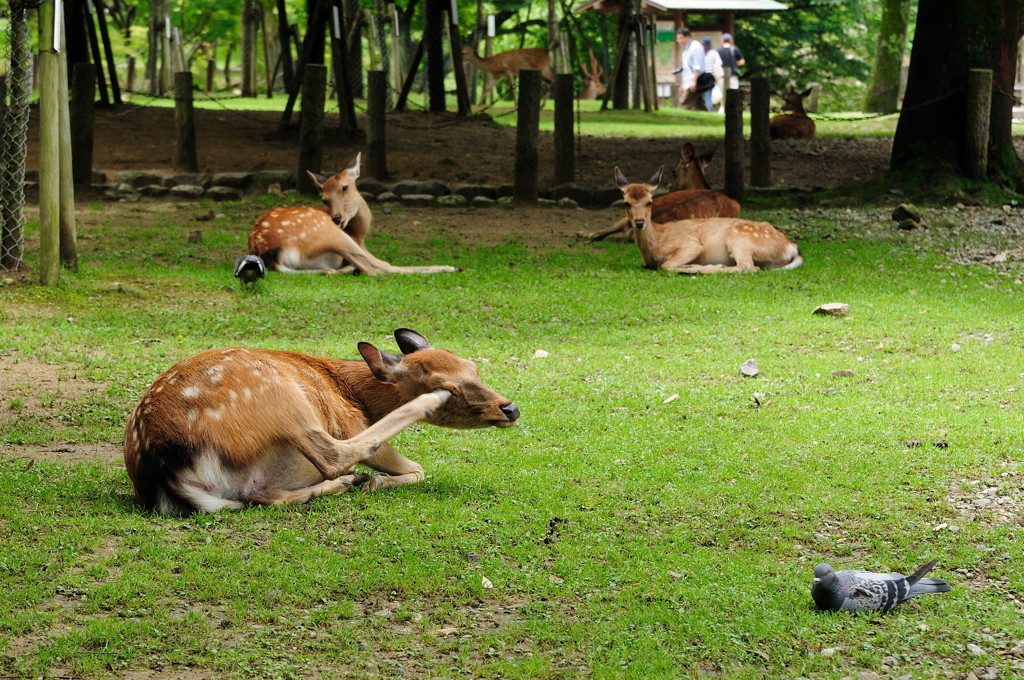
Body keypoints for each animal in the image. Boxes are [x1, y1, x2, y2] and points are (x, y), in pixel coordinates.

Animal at [121, 329, 520, 516]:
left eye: (473, 367)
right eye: (446, 385)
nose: (510, 408)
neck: (357, 395)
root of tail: (166, 470)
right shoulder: (349, 421)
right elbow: (417, 467)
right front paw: (376, 480)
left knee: (259, 497)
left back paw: (346, 483)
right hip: (284, 401)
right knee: (333, 455)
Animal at [247, 152, 456, 274]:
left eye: (345, 187)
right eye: (324, 199)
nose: (337, 217)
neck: (360, 233)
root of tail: (271, 254)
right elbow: (381, 264)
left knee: (332, 270)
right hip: (330, 233)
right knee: (377, 269)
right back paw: (450, 267)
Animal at [610, 164, 802, 274]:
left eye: (649, 202)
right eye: (626, 203)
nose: (639, 222)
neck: (654, 245)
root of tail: (792, 247)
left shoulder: (691, 244)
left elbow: (666, 265)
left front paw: (691, 266)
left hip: (739, 237)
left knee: (747, 266)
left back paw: (706, 268)